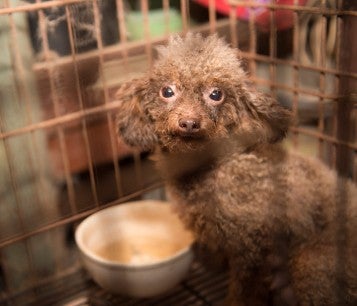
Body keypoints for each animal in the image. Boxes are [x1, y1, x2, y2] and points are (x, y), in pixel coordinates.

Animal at [115, 33, 354, 306]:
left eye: (216, 94)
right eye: (167, 91)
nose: (189, 122)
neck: (214, 167)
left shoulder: (250, 248)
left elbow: (243, 292)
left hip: (313, 267)